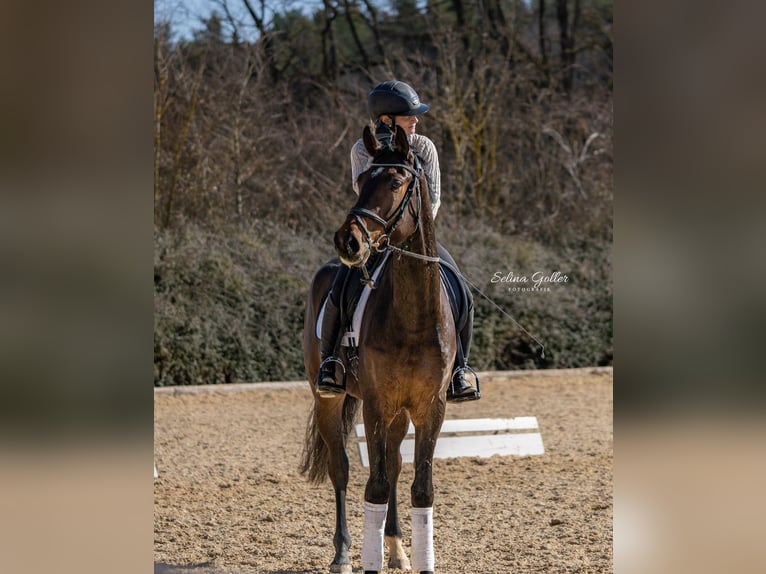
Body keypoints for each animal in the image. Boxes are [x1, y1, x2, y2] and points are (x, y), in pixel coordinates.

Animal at [301, 124, 456, 574]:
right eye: (363, 180)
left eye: (395, 182)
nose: (348, 241)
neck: (413, 314)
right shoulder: (375, 403)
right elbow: (375, 484)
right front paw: (366, 559)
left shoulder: (430, 406)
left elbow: (420, 486)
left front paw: (419, 560)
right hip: (327, 397)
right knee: (341, 467)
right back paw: (341, 555)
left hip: (400, 412)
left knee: (395, 462)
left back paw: (398, 548)